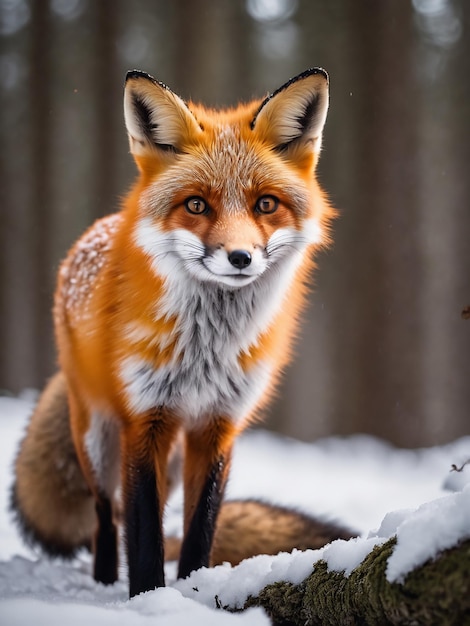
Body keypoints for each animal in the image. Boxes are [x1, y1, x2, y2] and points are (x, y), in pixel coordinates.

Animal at [10, 67, 338, 596]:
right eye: (197, 205)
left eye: (266, 204)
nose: (241, 257)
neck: (208, 349)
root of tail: (97, 230)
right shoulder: (145, 420)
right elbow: (143, 536)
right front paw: (147, 597)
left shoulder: (218, 426)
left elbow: (199, 528)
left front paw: (193, 590)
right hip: (97, 438)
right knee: (107, 518)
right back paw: (105, 586)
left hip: (176, 454)